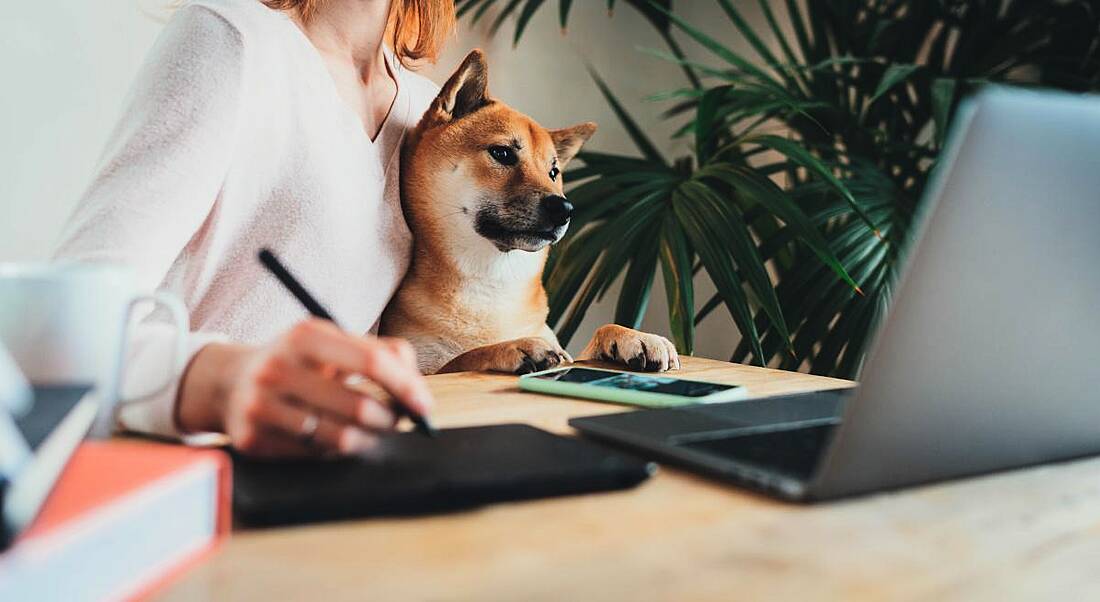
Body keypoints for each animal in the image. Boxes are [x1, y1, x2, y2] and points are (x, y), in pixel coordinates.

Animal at [385, 49, 677, 374]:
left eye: (553, 172)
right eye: (502, 153)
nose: (565, 208)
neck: (492, 285)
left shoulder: (566, 349)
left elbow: (594, 338)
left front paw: (633, 337)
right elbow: (464, 358)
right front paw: (513, 346)